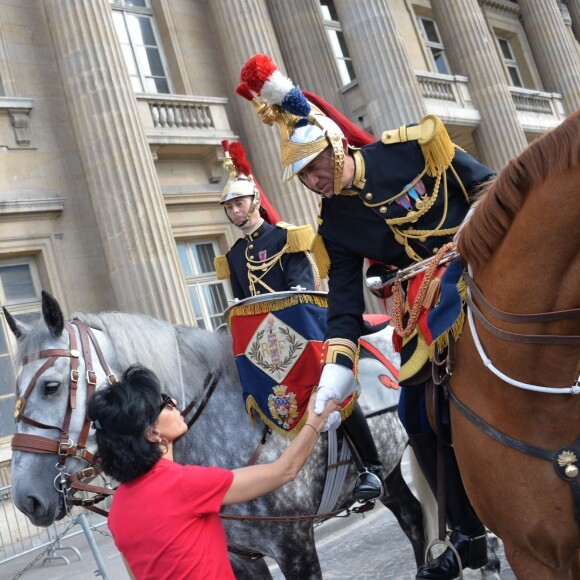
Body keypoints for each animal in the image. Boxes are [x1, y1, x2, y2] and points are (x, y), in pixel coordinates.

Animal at [5, 292, 436, 576]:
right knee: (412, 515)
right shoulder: (241, 556)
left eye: (51, 387)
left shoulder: (294, 547)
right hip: (392, 470)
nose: (27, 499)